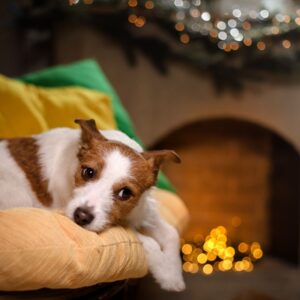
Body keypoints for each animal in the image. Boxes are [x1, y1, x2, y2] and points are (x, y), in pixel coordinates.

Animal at [0, 119, 185, 290]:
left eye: (125, 193)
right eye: (88, 172)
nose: (81, 216)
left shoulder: (143, 212)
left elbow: (172, 233)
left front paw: (174, 273)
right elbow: (150, 242)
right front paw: (165, 273)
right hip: (20, 196)